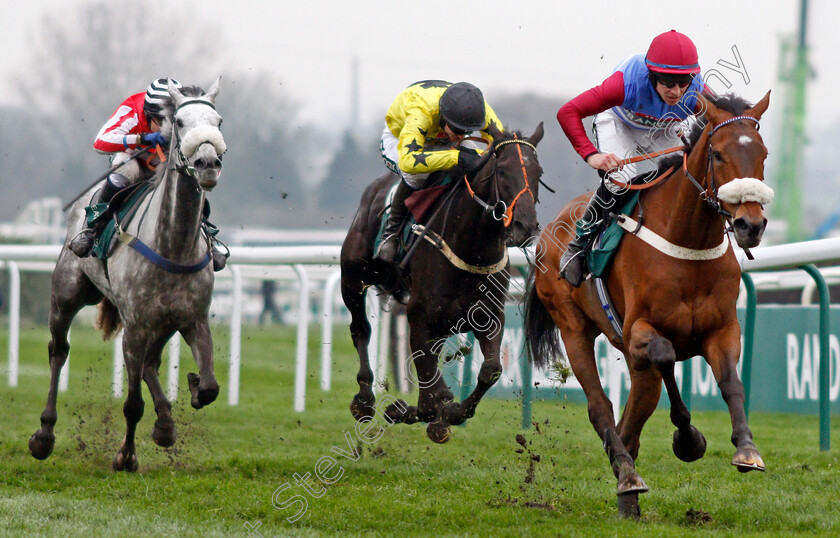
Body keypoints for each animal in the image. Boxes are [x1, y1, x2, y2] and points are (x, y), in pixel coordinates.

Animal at [29, 79, 226, 468]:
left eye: (218, 121)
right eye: (179, 122)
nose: (208, 163)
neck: (173, 244)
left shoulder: (192, 319)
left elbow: (210, 387)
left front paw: (194, 387)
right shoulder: (135, 325)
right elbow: (133, 404)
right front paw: (126, 457)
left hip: (162, 324)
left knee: (151, 363)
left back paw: (165, 423)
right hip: (67, 293)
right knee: (59, 350)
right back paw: (44, 436)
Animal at [340, 123, 544, 442]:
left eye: (539, 173)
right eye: (502, 171)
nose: (525, 227)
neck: (471, 249)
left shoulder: (489, 316)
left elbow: (491, 369)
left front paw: (448, 412)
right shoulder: (419, 317)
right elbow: (427, 391)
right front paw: (414, 410)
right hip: (353, 278)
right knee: (361, 329)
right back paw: (364, 400)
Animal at [524, 91, 776, 516]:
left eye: (763, 153)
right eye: (719, 154)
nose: (750, 225)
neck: (689, 245)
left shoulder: (723, 329)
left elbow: (731, 383)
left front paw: (747, 450)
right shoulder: (639, 329)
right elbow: (665, 354)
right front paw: (688, 440)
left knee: (635, 413)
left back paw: (627, 490)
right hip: (573, 327)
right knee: (601, 405)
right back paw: (627, 474)